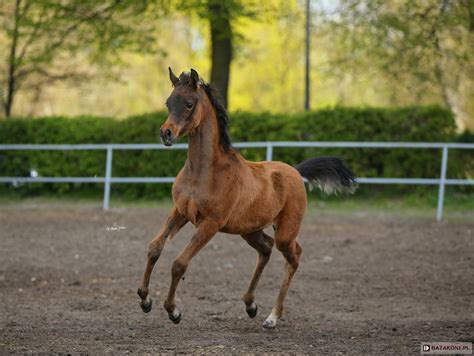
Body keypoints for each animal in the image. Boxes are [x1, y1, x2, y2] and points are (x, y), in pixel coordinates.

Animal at [137, 68, 356, 330]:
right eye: (168, 103)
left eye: (189, 103)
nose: (166, 134)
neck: (203, 171)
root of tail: (295, 171)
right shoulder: (180, 211)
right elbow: (154, 248)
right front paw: (145, 300)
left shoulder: (211, 223)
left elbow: (179, 263)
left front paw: (173, 311)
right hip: (250, 230)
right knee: (266, 249)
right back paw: (250, 305)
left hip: (285, 232)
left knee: (293, 256)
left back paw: (272, 317)